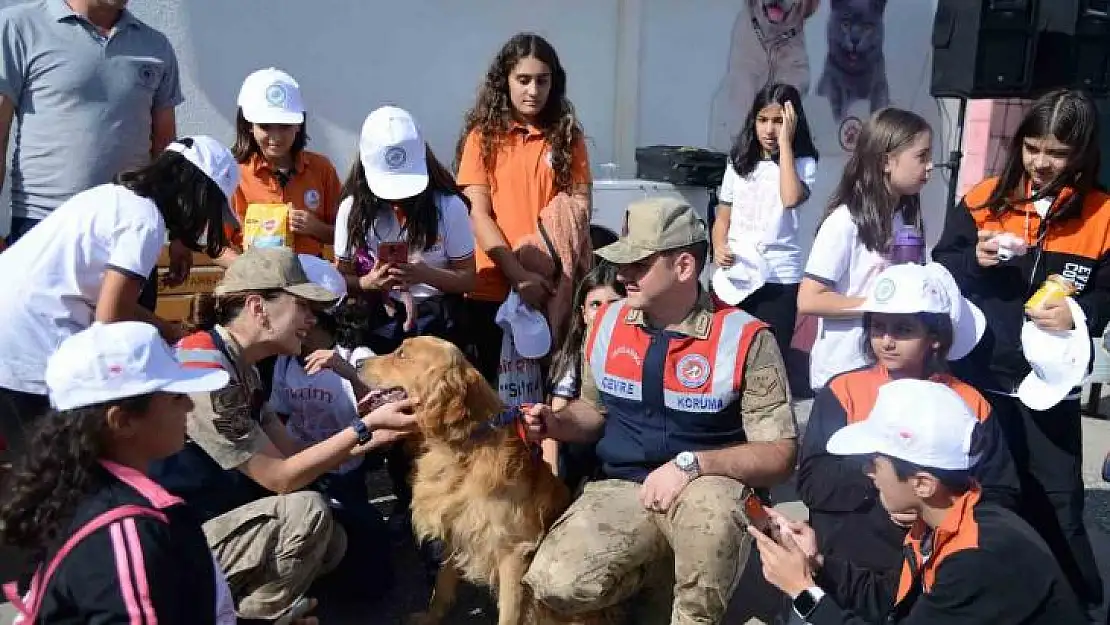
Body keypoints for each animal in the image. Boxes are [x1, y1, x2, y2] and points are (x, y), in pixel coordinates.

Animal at [359, 337, 621, 625]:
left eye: (402, 355)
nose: (358, 361)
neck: (464, 445)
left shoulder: (514, 552)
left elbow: (508, 614)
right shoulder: (456, 527)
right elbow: (442, 585)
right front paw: (431, 616)